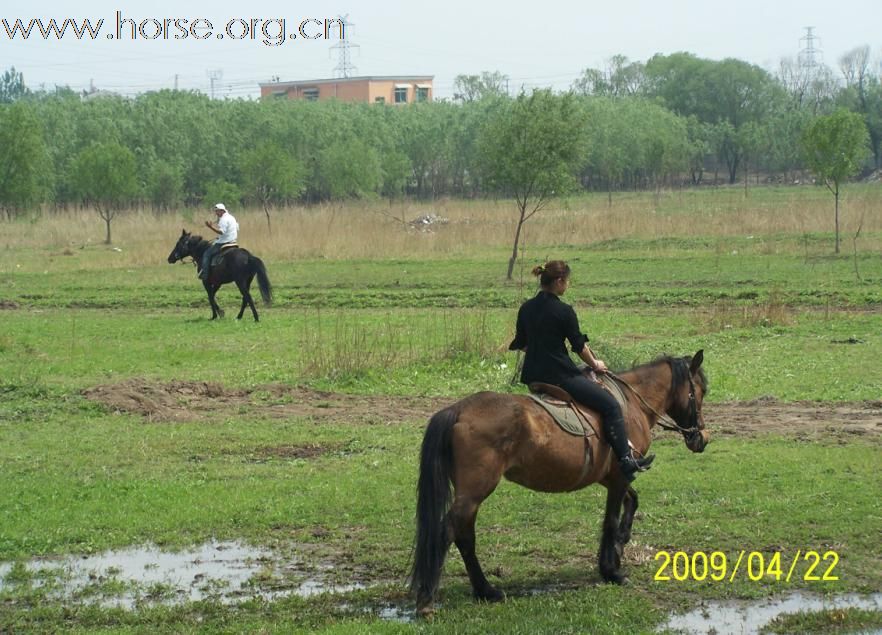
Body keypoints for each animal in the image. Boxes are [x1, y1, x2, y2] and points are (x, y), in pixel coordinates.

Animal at [410, 352, 704, 616]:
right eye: (698, 393)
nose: (701, 437)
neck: (632, 403)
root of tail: (458, 410)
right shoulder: (621, 476)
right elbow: (610, 520)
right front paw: (611, 571)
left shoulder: (612, 477)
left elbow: (632, 501)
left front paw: (620, 545)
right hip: (475, 491)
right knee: (448, 532)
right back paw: (428, 600)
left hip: (469, 494)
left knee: (464, 535)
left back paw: (486, 591)